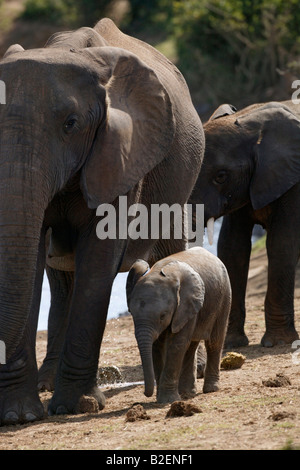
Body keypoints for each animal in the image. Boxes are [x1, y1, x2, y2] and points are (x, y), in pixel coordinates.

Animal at [0, 18, 204, 424]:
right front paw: (19, 416)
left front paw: (78, 406)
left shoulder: (122, 152)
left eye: (71, 124)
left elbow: (98, 258)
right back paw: (46, 385)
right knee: (62, 279)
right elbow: (31, 255)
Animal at [125, 246, 231, 404]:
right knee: (191, 345)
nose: (146, 394)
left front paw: (168, 400)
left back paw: (210, 389)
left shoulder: (186, 305)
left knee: (214, 341)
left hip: (224, 296)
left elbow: (176, 344)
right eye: (131, 313)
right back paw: (187, 393)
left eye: (163, 315)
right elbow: (157, 346)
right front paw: (163, 399)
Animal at [190, 100, 300, 348]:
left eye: (221, 176)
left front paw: (277, 342)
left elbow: (282, 243)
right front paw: (231, 343)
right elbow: (233, 247)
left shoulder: (294, 181)